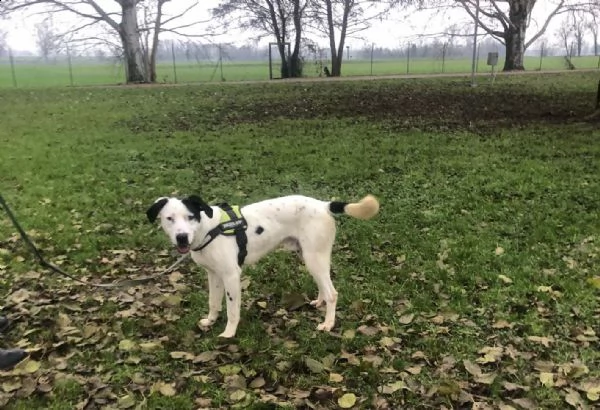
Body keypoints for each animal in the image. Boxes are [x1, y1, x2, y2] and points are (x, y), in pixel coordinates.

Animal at [146, 194, 380, 338]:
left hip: (314, 257)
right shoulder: (214, 275)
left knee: (333, 293)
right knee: (324, 285)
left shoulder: (231, 275)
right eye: (169, 218)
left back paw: (328, 324)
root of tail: (324, 205)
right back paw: (320, 302)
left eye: (190, 217)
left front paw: (229, 333)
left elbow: (232, 310)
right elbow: (213, 302)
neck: (209, 229)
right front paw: (210, 321)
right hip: (311, 257)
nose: (181, 237)